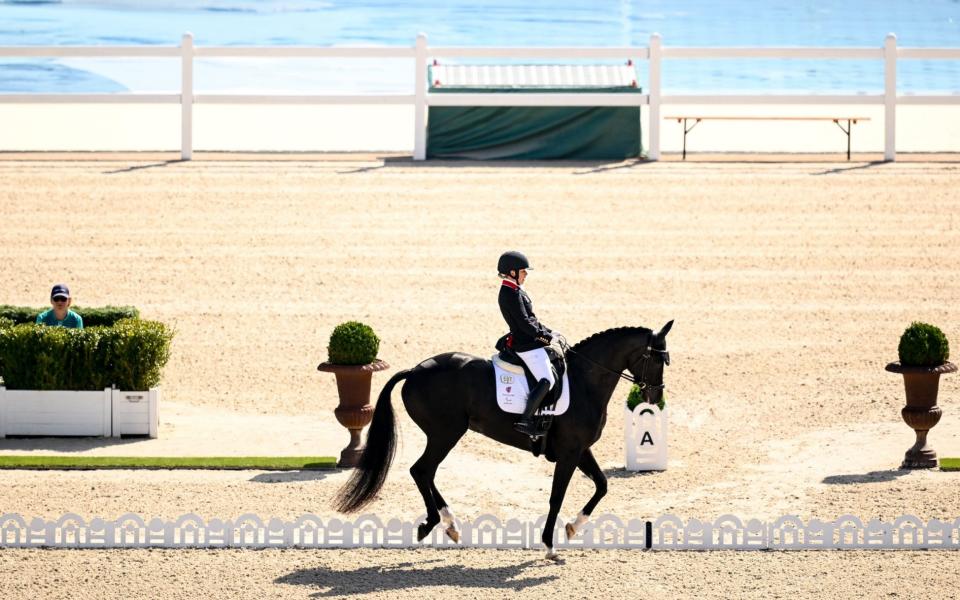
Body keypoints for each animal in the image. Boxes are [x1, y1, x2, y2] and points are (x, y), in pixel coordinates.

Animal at [334, 322, 672, 560]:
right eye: (658, 360)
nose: (654, 397)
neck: (583, 382)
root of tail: (415, 370)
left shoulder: (580, 449)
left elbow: (602, 485)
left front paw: (573, 527)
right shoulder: (569, 452)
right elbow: (557, 497)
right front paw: (549, 545)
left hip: (443, 435)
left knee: (426, 473)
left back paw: (451, 525)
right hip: (445, 434)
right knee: (421, 470)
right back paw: (433, 523)